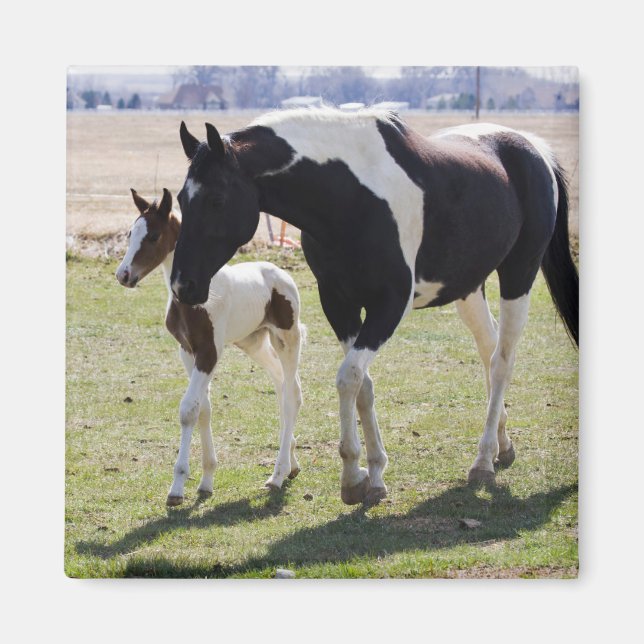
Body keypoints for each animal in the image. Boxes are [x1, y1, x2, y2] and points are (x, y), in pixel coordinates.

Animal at [115, 188, 305, 506]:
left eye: (153, 235)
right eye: (131, 233)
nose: (123, 275)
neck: (190, 299)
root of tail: (281, 274)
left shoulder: (209, 352)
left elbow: (188, 410)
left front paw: (177, 488)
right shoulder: (187, 351)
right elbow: (203, 408)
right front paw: (206, 481)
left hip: (286, 339)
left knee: (290, 396)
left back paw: (277, 475)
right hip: (254, 342)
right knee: (282, 386)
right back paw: (292, 464)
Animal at [170, 107, 579, 506]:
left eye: (217, 199)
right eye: (180, 200)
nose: (182, 286)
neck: (350, 197)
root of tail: (534, 149)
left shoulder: (389, 306)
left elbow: (348, 378)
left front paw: (352, 476)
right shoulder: (339, 305)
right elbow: (363, 386)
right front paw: (375, 474)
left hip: (519, 275)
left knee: (501, 363)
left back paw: (482, 461)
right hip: (469, 289)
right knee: (489, 350)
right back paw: (502, 446)